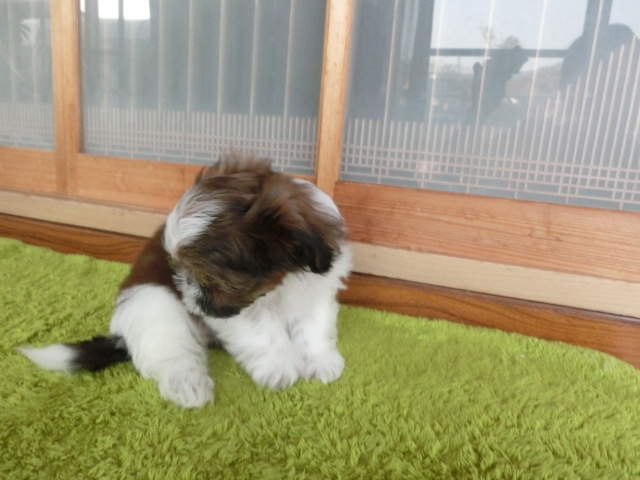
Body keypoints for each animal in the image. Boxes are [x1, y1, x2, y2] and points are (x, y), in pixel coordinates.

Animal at [19, 155, 352, 408]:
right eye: (183, 272)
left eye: (206, 278)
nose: (191, 298)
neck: (282, 282)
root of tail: (120, 333)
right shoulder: (237, 311)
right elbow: (263, 333)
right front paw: (280, 367)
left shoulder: (317, 288)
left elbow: (314, 326)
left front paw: (320, 360)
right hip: (154, 305)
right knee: (171, 353)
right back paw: (188, 385)